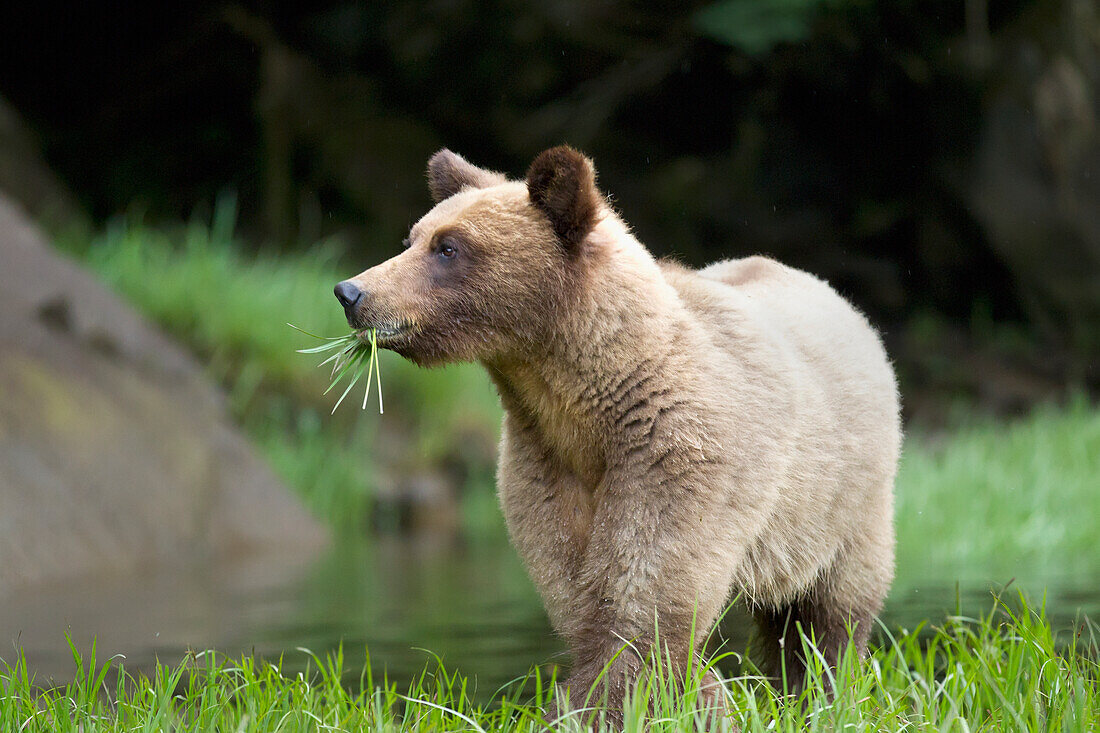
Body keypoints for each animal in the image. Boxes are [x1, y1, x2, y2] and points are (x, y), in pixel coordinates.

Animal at [334, 145, 902, 717]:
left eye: (448, 247)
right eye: (413, 239)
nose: (351, 292)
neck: (586, 399)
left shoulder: (678, 449)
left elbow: (646, 588)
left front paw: (615, 701)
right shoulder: (543, 458)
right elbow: (573, 583)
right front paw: (680, 694)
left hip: (839, 505)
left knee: (829, 609)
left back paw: (822, 691)